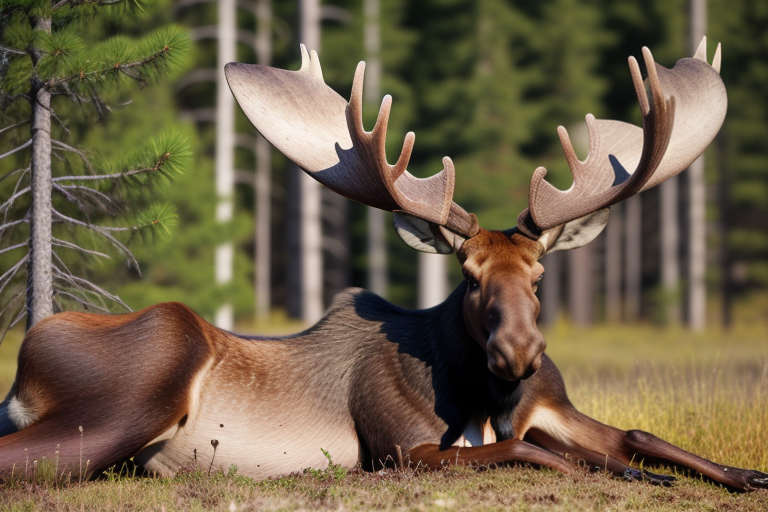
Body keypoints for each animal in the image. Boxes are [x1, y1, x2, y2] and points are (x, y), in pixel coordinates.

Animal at [1, 39, 766, 492]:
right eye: (468, 276)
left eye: (541, 276)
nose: (519, 352)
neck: (485, 396)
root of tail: (25, 362)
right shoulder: (400, 446)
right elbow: (529, 452)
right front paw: (637, 478)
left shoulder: (552, 404)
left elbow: (636, 433)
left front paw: (741, 475)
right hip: (134, 391)